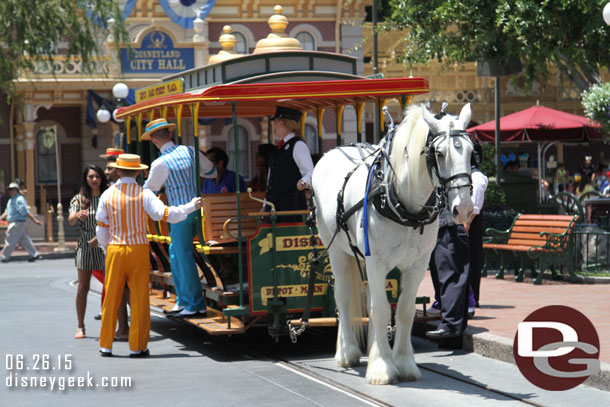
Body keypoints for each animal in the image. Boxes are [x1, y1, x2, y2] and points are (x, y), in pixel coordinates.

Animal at [312, 103, 472, 384]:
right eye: (440, 154)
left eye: (473, 152)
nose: (463, 209)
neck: (401, 204)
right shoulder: (376, 261)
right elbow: (380, 309)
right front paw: (382, 367)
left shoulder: (417, 264)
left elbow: (403, 310)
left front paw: (403, 362)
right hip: (337, 251)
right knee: (343, 296)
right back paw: (347, 352)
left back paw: (373, 347)